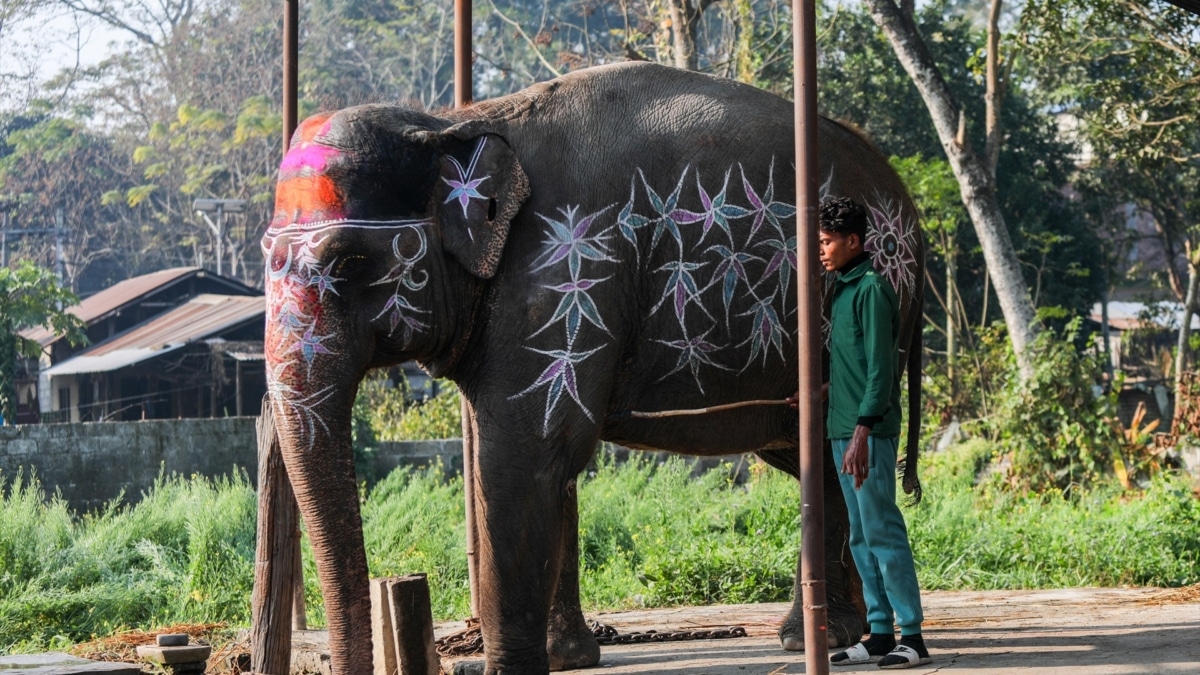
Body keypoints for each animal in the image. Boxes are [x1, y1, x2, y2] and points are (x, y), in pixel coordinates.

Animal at [262, 61, 916, 672]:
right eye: (267, 256)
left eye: (347, 263)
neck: (453, 122)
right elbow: (548, 464)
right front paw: (567, 658)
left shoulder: (562, 274)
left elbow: (523, 457)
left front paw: (516, 669)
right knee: (816, 459)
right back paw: (834, 635)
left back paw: (819, 640)